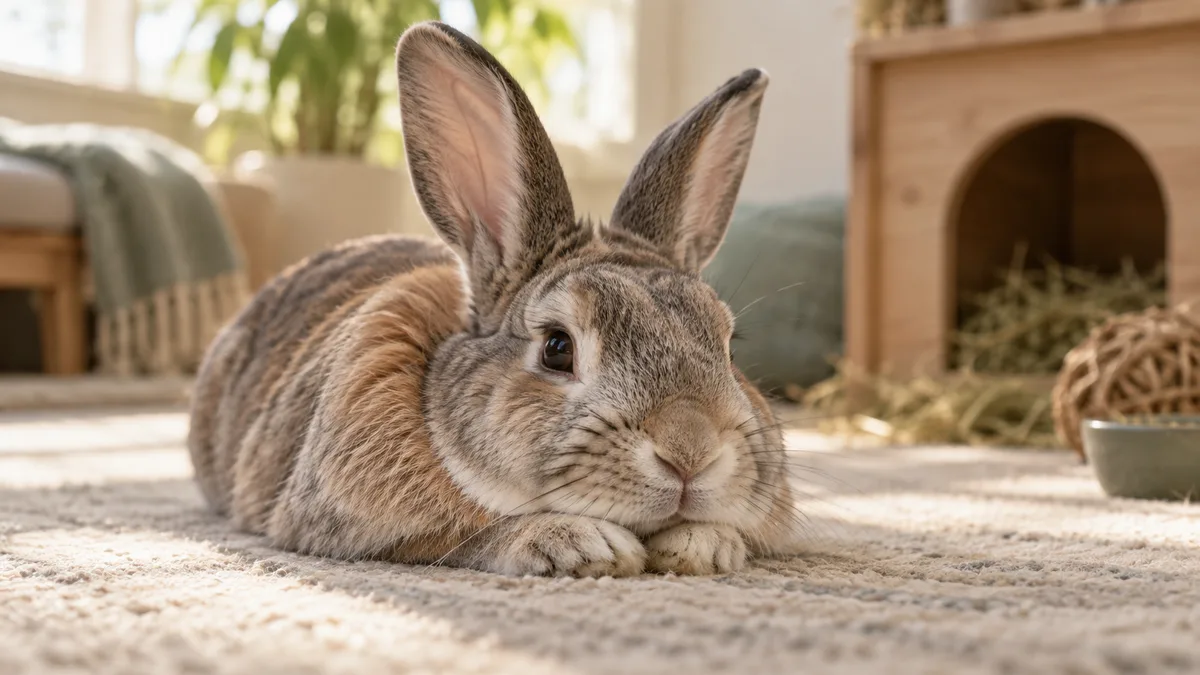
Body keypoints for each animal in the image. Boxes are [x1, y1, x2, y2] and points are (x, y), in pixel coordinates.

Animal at [187, 20, 797, 578]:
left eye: (729, 349)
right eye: (557, 348)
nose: (692, 453)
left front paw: (705, 545)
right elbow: (472, 536)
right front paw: (582, 544)